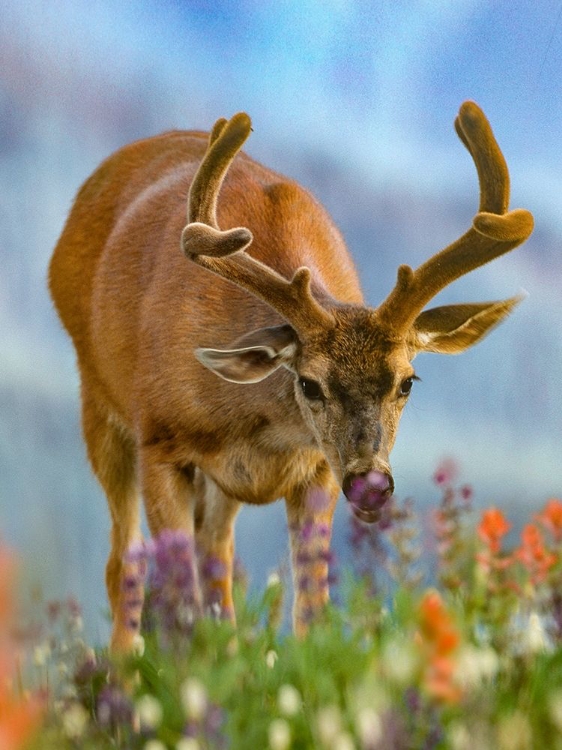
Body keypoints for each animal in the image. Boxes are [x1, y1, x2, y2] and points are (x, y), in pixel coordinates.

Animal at [48, 101, 528, 652]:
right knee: (124, 565)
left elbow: (311, 609)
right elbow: (177, 604)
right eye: (309, 383)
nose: (370, 482)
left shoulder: (318, 469)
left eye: (408, 382)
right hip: (97, 400)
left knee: (217, 559)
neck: (260, 430)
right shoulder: (160, 442)